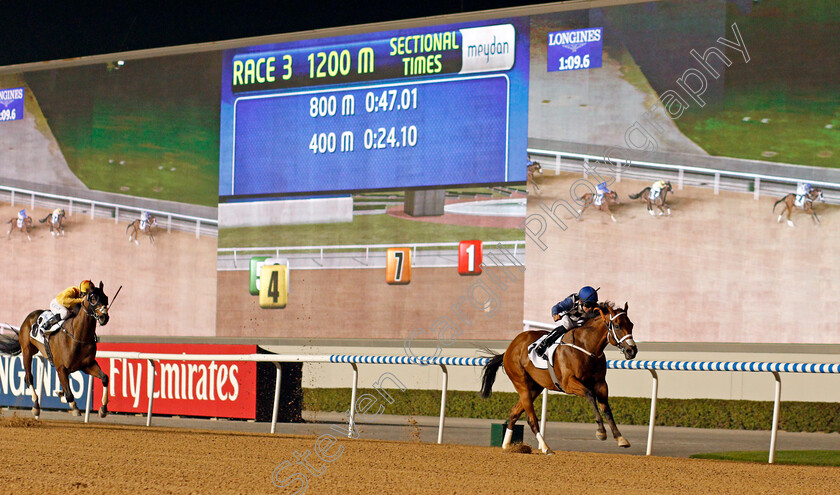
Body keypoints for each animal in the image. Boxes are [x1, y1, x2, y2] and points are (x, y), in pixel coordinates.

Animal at [0, 282, 111, 418]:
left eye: (106, 298)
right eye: (93, 298)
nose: (104, 317)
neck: (78, 336)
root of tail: (30, 316)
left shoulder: (87, 365)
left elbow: (105, 377)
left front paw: (103, 409)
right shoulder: (61, 368)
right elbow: (69, 394)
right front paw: (74, 407)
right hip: (26, 350)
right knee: (28, 378)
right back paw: (36, 406)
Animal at [480, 300, 636, 456]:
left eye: (631, 325)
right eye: (617, 325)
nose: (632, 351)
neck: (586, 346)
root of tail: (509, 349)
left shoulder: (601, 384)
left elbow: (606, 408)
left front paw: (620, 438)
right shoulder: (568, 383)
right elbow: (590, 395)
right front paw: (601, 432)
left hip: (535, 387)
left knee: (514, 413)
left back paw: (507, 446)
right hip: (521, 383)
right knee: (532, 419)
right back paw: (545, 447)